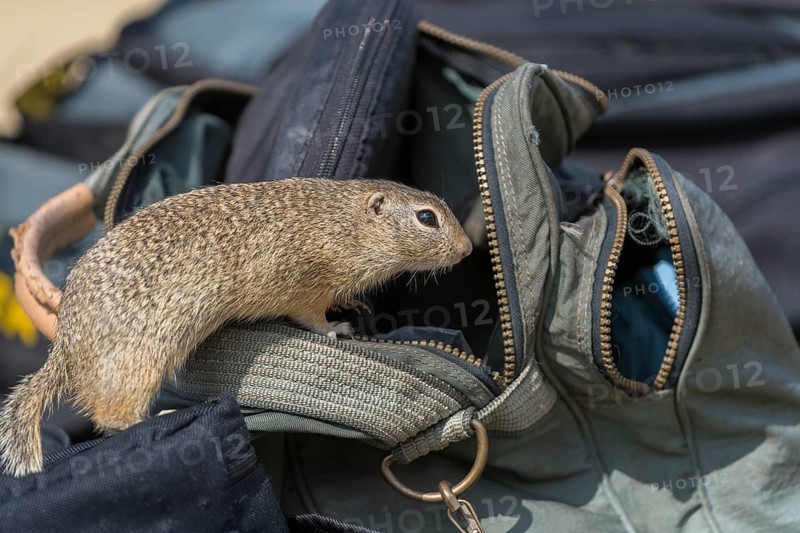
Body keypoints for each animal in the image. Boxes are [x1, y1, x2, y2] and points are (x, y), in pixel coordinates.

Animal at [0, 178, 473, 477]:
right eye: (427, 218)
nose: (468, 249)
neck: (341, 223)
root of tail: (66, 346)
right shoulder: (302, 286)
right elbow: (310, 316)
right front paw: (336, 329)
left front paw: (351, 302)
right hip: (140, 359)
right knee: (112, 416)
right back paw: (162, 414)